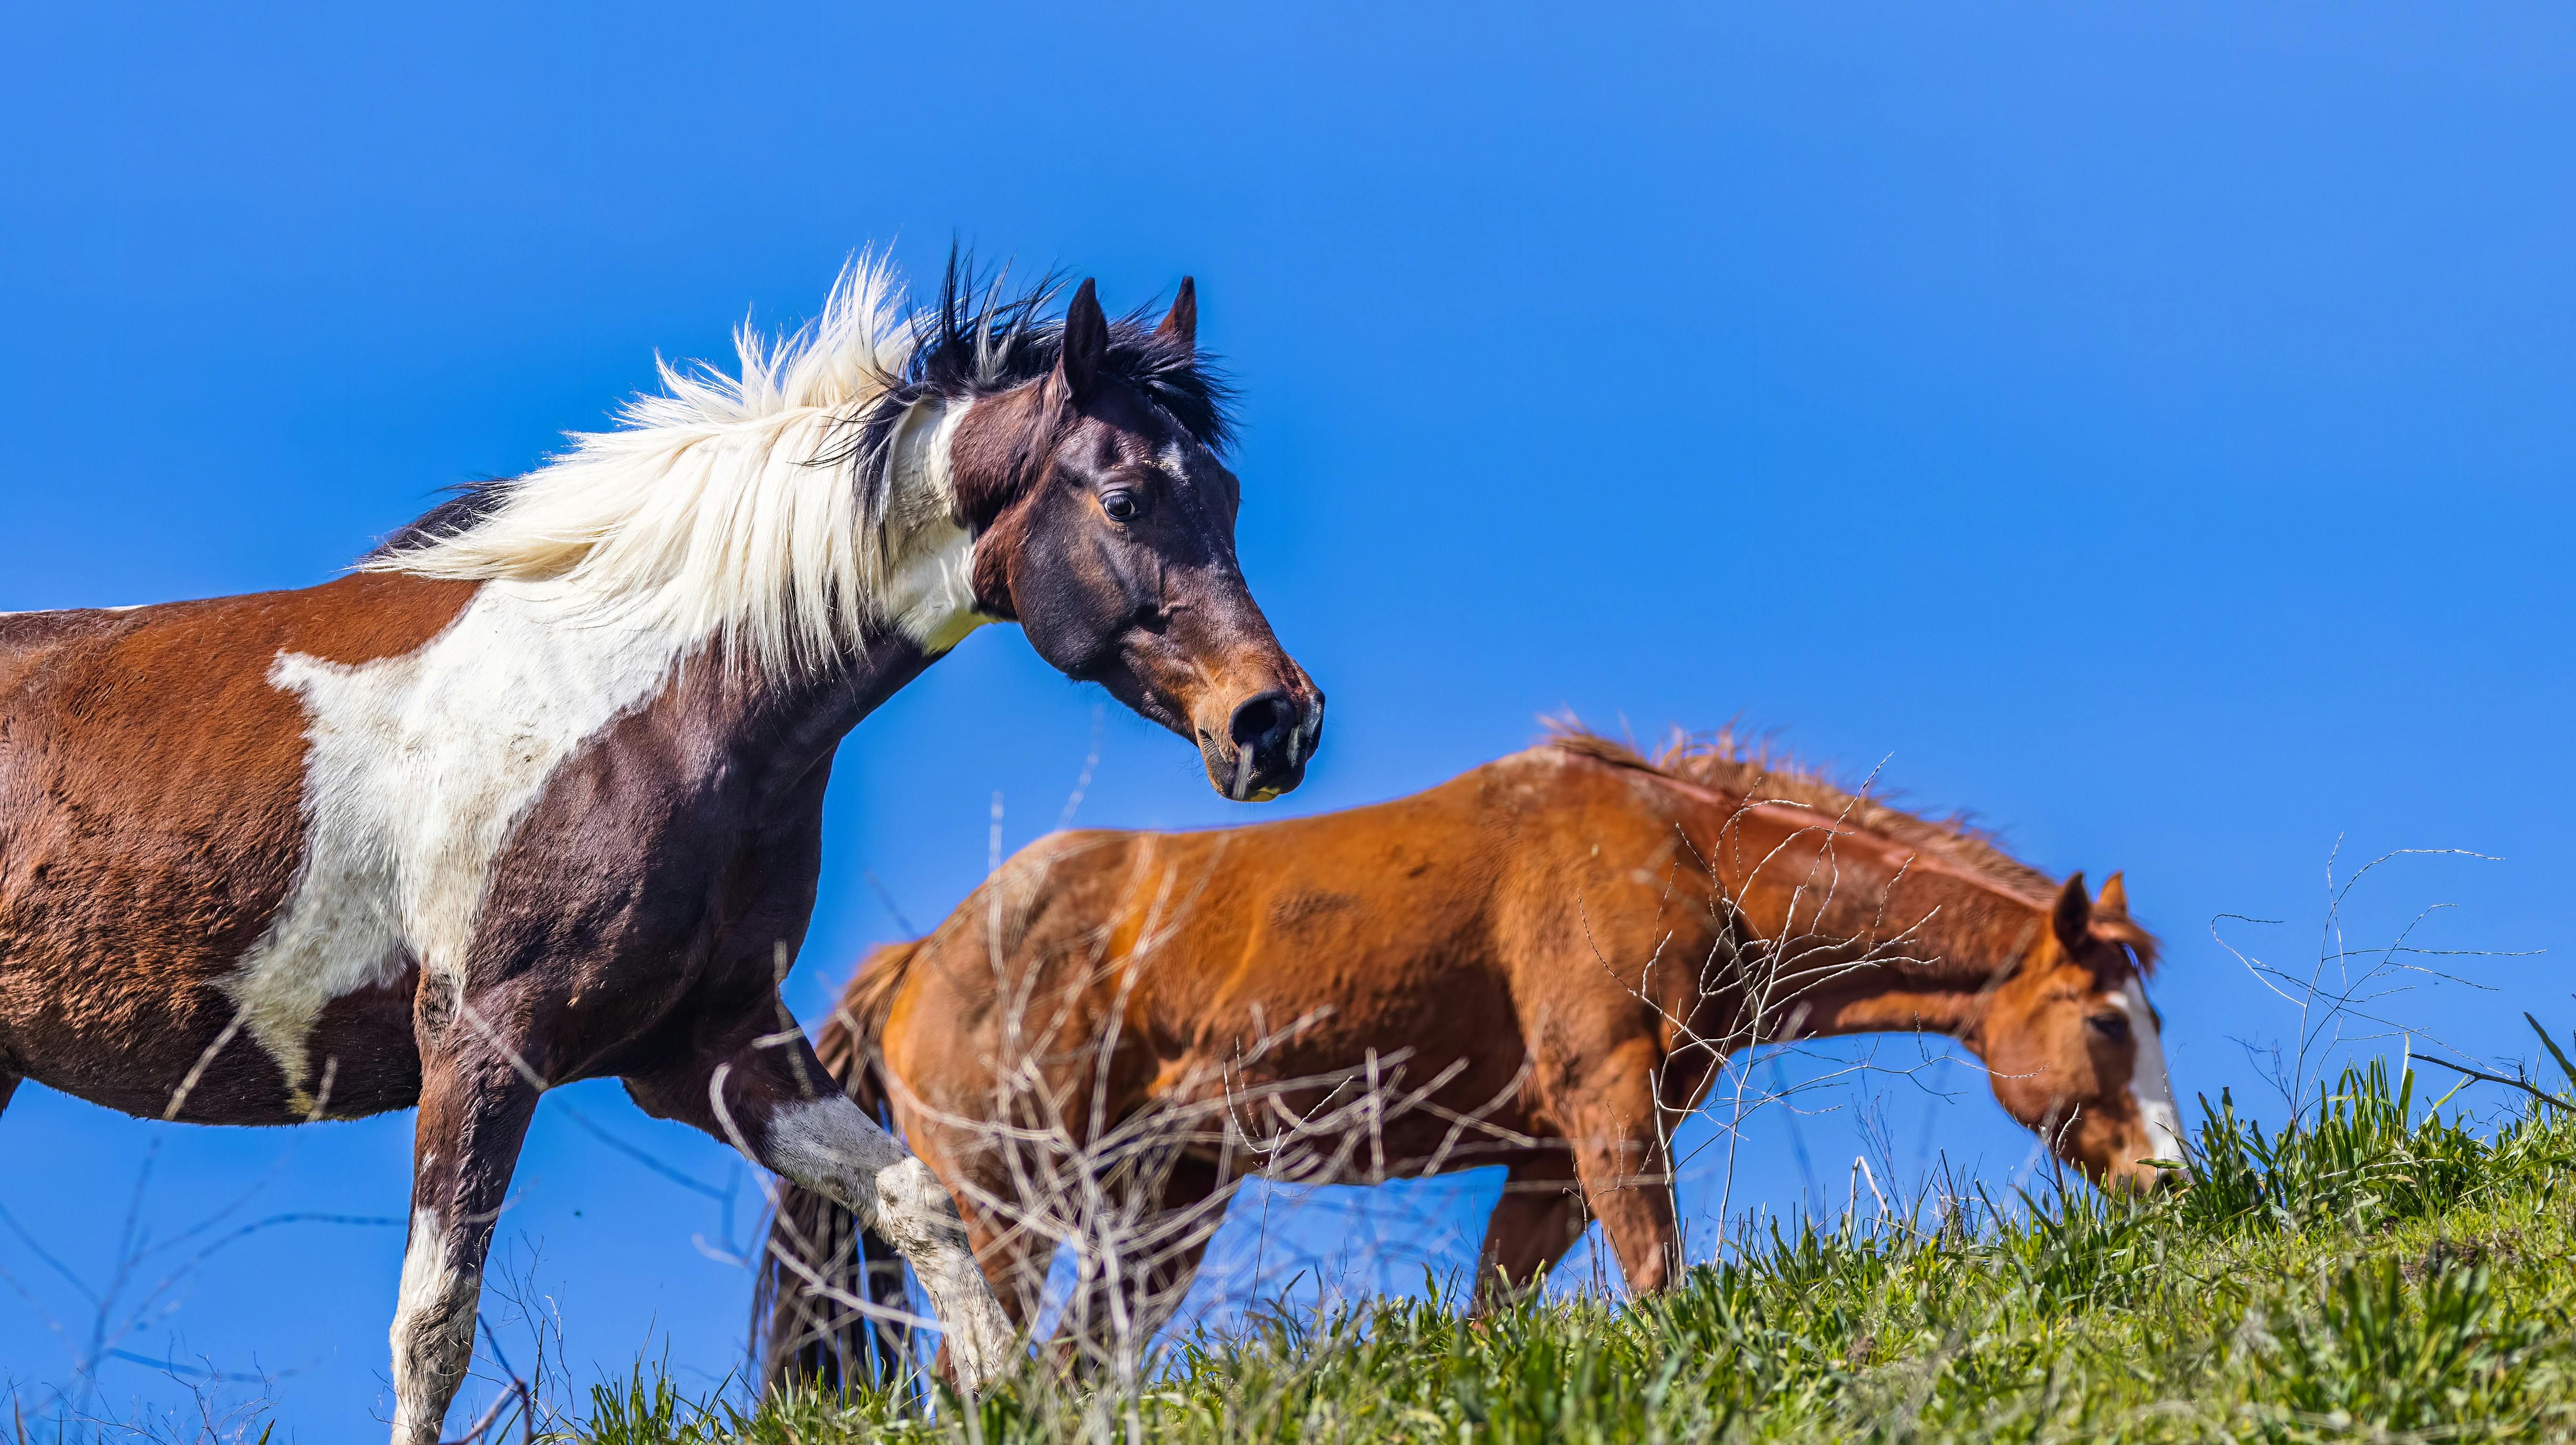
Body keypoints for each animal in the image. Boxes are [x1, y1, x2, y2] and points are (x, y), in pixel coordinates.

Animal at [0, 253, 1319, 1432]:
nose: (1275, 721)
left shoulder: (708, 1043)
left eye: (1231, 499)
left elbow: (917, 1201)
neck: (647, 702)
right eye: (1125, 498)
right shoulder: (483, 1038)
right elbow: (434, 1322)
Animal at [757, 726, 2174, 1380]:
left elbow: (1495, 1316)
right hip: (1003, 1198)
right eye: (2108, 1019)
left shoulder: (1548, 1157)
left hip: (1162, 1207)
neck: (1681, 852)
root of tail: (925, 953)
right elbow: (1657, 1279)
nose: (2167, 1171)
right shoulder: (1605, 1106)